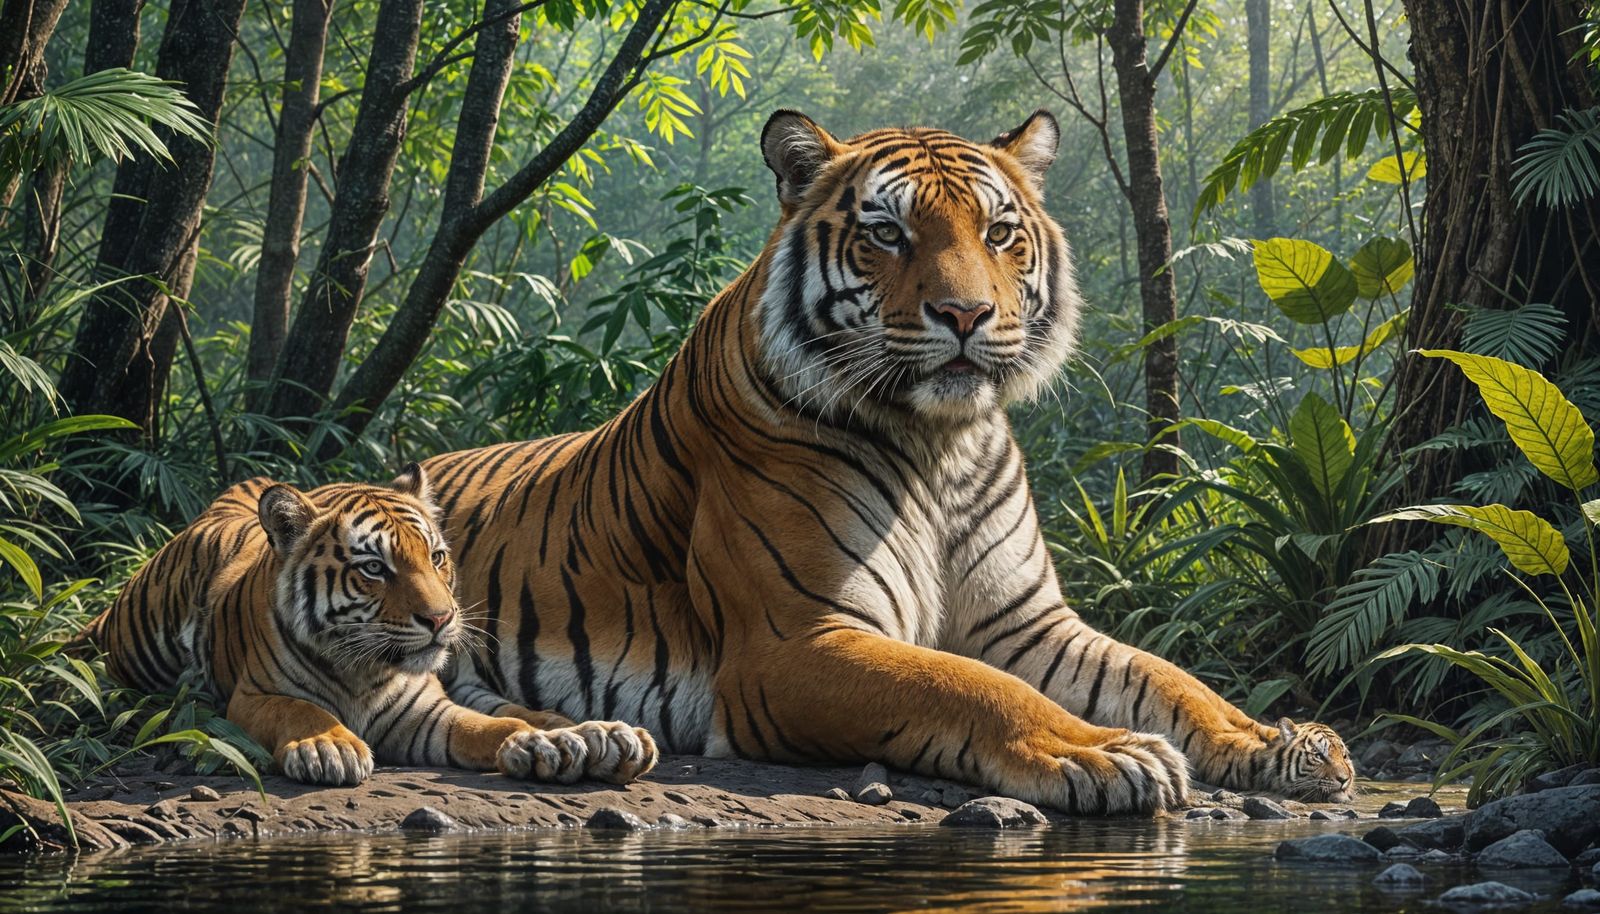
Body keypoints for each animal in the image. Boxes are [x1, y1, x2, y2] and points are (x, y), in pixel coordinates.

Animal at [78, 466, 658, 787]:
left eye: (436, 557)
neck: (365, 670)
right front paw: (329, 748)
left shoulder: (427, 714)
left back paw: (597, 736)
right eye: (375, 568)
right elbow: (301, 709)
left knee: (519, 708)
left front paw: (541, 746)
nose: (441, 618)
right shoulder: (254, 696)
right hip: (135, 642)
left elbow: (489, 726)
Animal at [416, 109, 1355, 815]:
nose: (967, 314)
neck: (943, 443)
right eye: (888, 234)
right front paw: (1106, 754)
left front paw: (1284, 744)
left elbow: (1169, 676)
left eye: (1000, 233)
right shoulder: (797, 640)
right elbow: (967, 687)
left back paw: (578, 743)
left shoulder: (1026, 624)